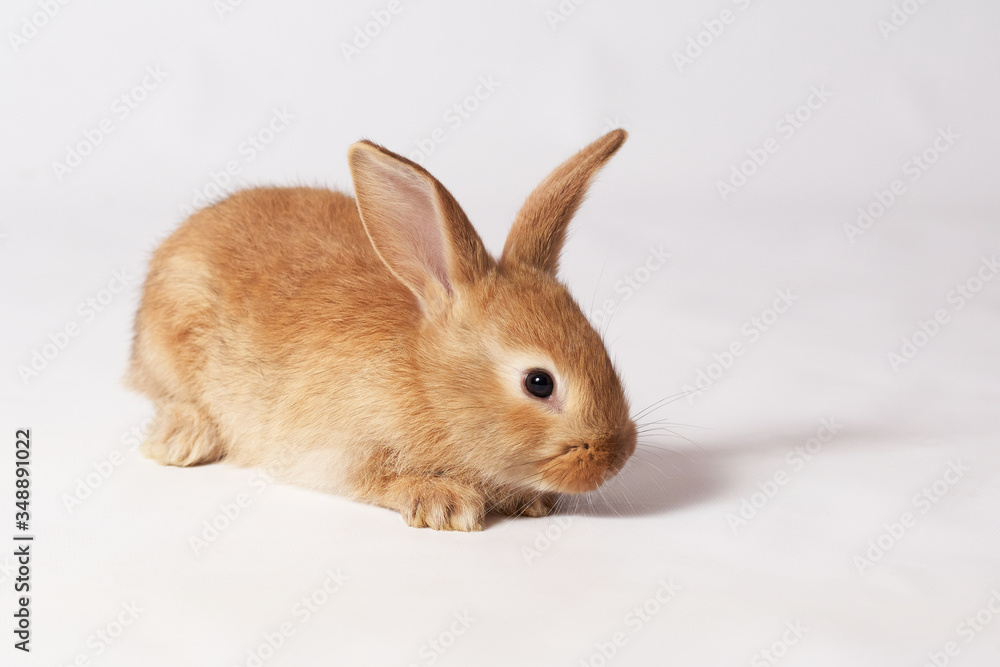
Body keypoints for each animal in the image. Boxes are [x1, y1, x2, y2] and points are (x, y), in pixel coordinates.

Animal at [129, 130, 636, 532]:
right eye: (539, 382)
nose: (617, 456)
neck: (428, 384)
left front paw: (528, 500)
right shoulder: (341, 450)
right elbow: (379, 481)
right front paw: (444, 503)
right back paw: (184, 439)